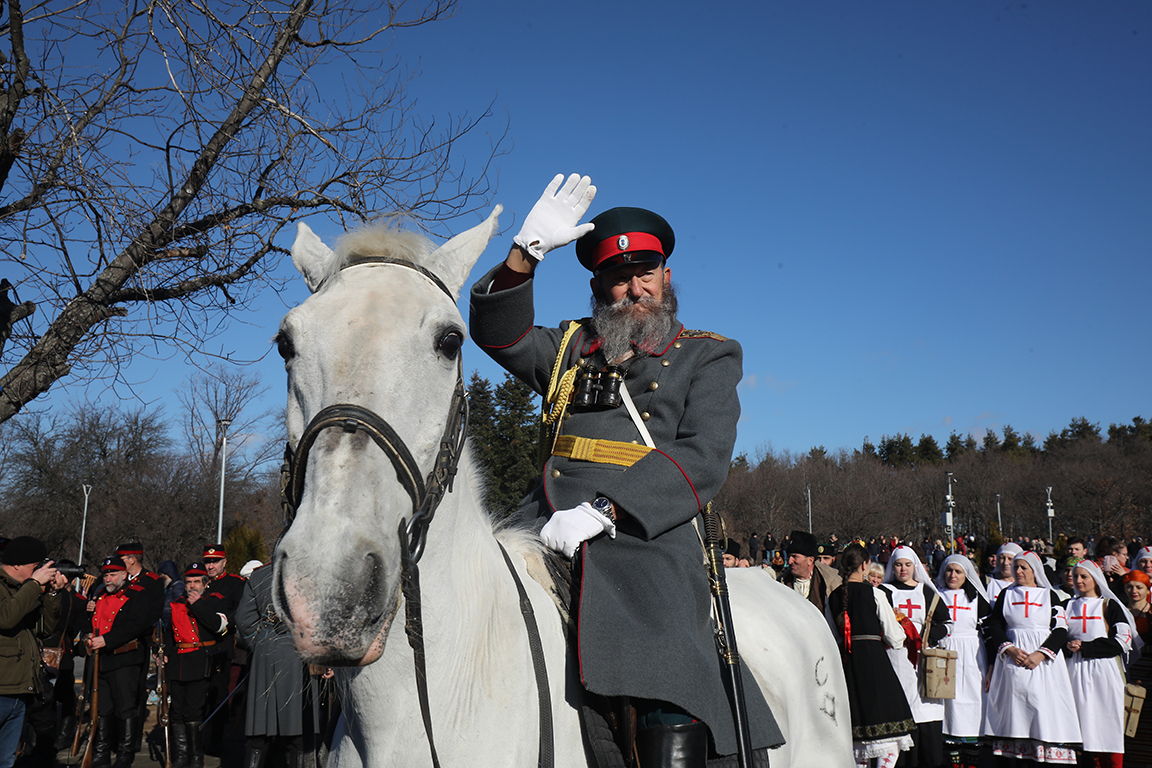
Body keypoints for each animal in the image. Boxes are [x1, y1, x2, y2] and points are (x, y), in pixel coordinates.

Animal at [271, 206, 857, 768]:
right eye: (285, 343)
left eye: (450, 340)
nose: (331, 591)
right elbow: (511, 334)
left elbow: (696, 452)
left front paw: (580, 522)